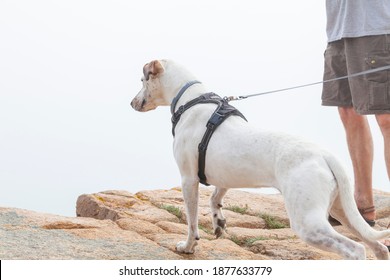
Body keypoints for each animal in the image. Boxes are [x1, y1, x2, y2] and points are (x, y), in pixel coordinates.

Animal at [132, 59, 390, 260]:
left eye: (143, 80)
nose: (132, 102)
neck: (192, 99)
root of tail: (325, 155)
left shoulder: (188, 179)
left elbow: (192, 221)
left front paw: (188, 246)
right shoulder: (224, 177)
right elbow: (215, 198)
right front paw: (218, 222)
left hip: (308, 223)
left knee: (356, 249)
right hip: (343, 211)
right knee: (378, 247)